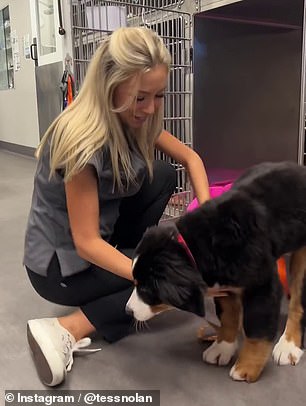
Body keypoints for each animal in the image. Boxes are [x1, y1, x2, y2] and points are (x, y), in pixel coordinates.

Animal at [125, 161, 306, 380]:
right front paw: (222, 347)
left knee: (297, 303)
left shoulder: (261, 283)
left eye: (145, 289)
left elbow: (257, 328)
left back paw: (289, 345)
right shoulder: (223, 284)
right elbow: (228, 316)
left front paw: (246, 366)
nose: (128, 311)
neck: (201, 244)